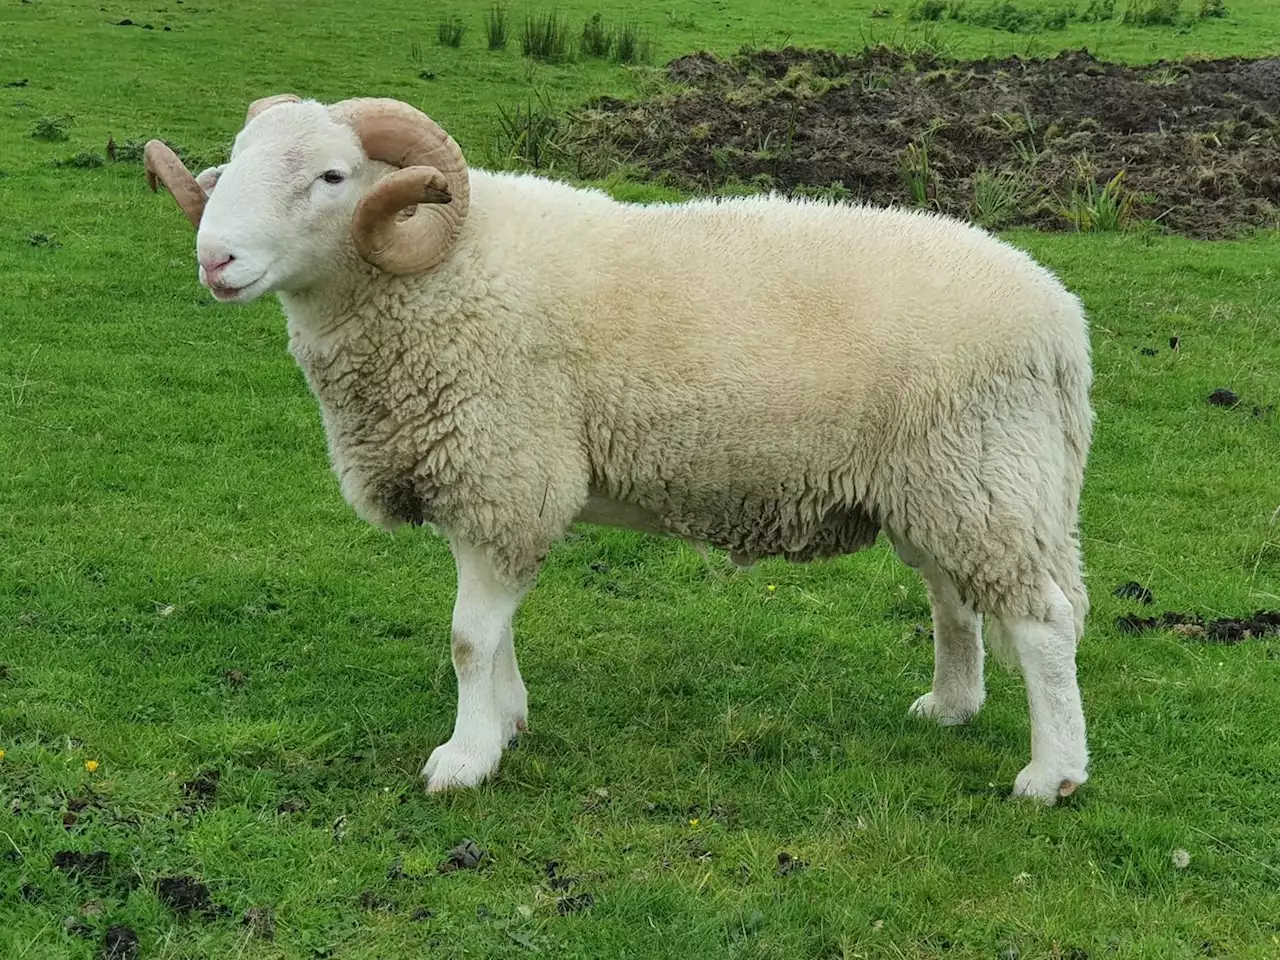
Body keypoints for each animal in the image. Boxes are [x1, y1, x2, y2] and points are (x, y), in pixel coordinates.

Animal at [147, 96, 1090, 803]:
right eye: (234, 161)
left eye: (332, 176)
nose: (213, 258)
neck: (441, 273)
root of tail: (1060, 319)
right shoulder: (485, 487)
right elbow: (493, 634)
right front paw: (508, 719)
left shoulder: (506, 473)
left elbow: (466, 638)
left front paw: (465, 759)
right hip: (941, 485)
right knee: (953, 600)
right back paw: (952, 705)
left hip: (983, 473)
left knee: (1043, 623)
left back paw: (1051, 775)